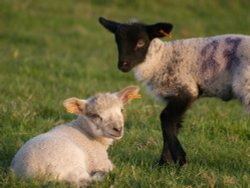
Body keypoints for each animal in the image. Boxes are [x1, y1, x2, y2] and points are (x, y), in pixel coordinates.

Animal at [10, 85, 140, 187]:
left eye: (122, 110)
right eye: (95, 115)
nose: (118, 129)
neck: (84, 130)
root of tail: (36, 177)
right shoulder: (100, 161)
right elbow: (112, 167)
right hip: (71, 164)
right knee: (83, 181)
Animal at [99, 17, 250, 166]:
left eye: (141, 42)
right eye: (117, 41)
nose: (123, 65)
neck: (161, 60)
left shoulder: (186, 90)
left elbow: (166, 119)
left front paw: (179, 159)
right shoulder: (174, 95)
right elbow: (173, 125)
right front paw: (164, 164)